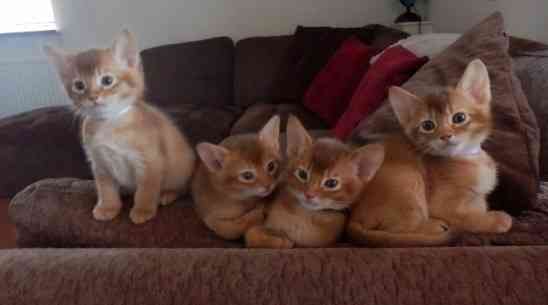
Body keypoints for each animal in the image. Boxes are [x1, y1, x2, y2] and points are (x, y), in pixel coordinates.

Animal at [45, 30, 196, 223]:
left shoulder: (150, 163)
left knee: (182, 188)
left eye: (107, 80)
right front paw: (108, 207)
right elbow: (106, 190)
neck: (109, 124)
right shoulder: (99, 164)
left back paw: (167, 195)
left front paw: (143, 210)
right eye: (79, 86)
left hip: (181, 169)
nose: (93, 97)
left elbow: (146, 190)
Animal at [246, 115, 384, 248]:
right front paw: (280, 240)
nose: (309, 194)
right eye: (302, 174)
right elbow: (251, 234)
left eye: (331, 183)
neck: (304, 217)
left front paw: (284, 240)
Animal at [348, 58, 512, 246]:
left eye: (459, 118)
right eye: (428, 125)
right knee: (399, 230)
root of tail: (353, 217)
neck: (467, 158)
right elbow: (469, 219)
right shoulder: (443, 207)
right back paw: (435, 226)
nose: (445, 136)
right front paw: (497, 220)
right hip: (408, 177)